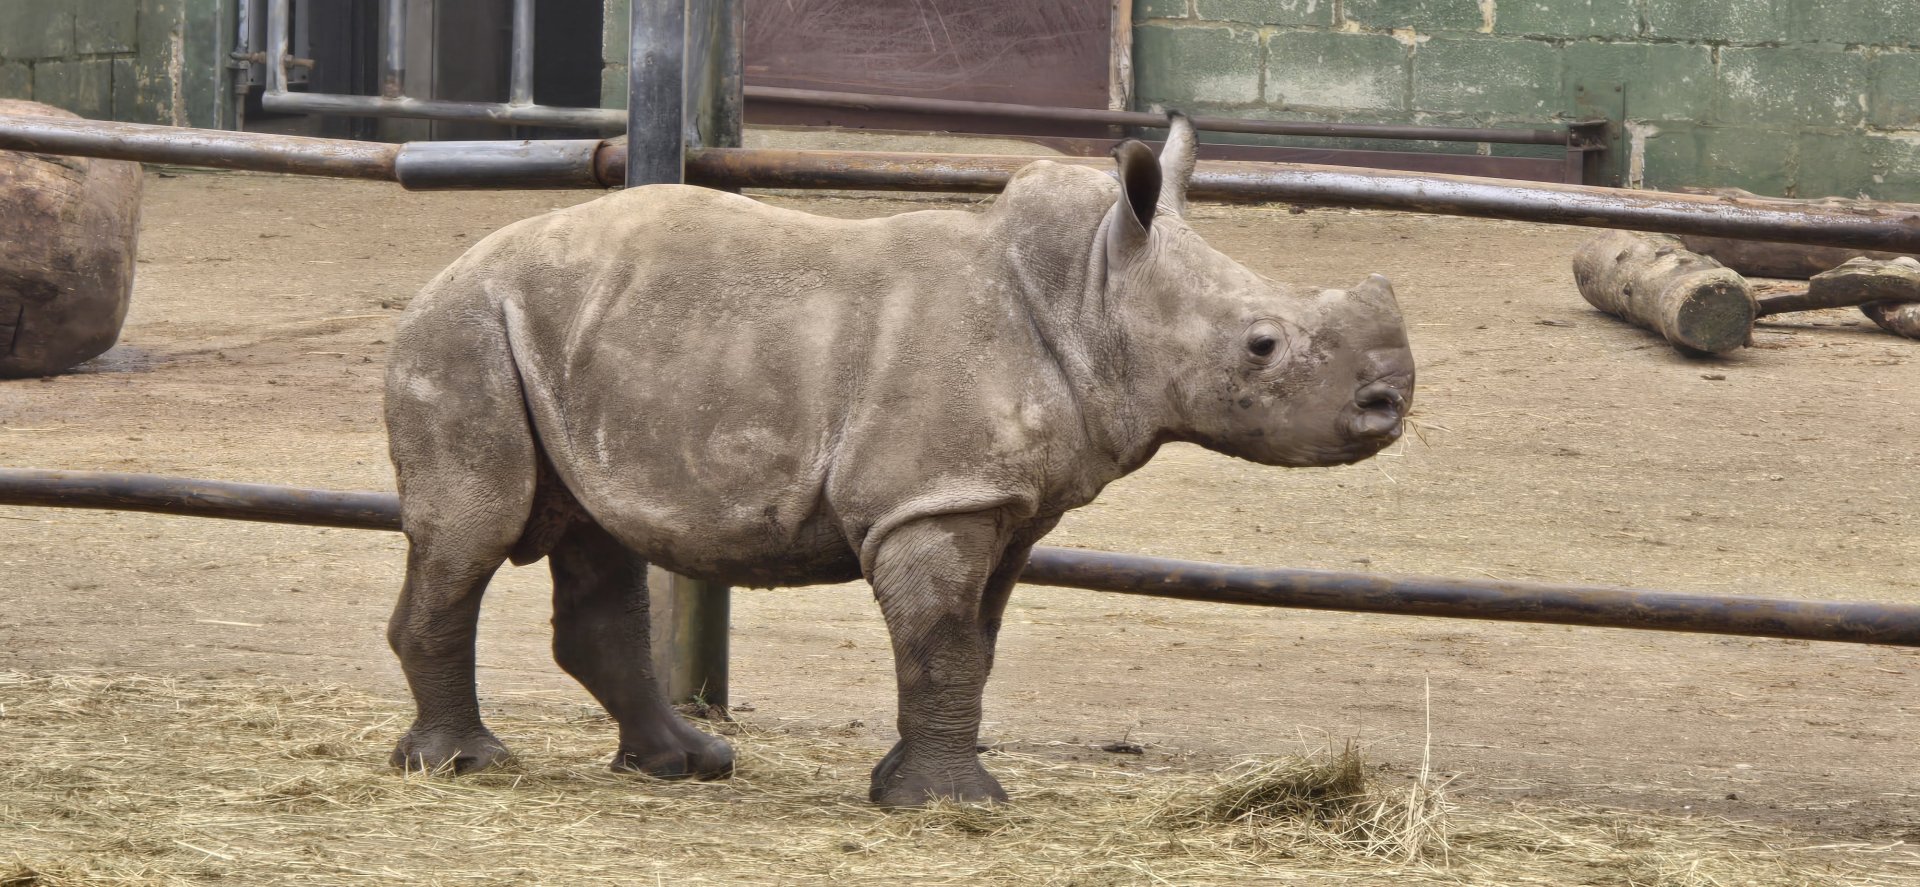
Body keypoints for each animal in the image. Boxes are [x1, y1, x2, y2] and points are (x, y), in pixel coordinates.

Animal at [382, 114, 1414, 806]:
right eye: (1262, 347)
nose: (1391, 401)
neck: (1091, 292)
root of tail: (446, 272)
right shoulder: (933, 499)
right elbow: (942, 641)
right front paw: (954, 804)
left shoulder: (1003, 503)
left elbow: (974, 644)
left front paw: (909, 786)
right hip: (463, 334)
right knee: (474, 530)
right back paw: (462, 764)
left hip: (558, 337)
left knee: (594, 531)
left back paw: (686, 764)